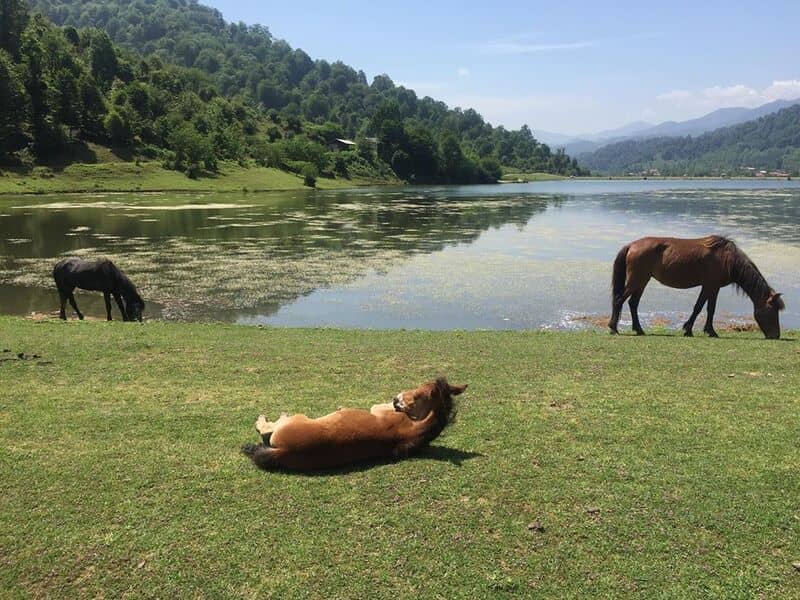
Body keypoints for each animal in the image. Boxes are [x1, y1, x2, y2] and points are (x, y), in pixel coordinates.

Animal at [244, 378, 468, 472]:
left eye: (418, 394)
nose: (396, 399)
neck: (414, 428)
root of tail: (283, 451)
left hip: (296, 418)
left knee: (266, 428)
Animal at [608, 234, 784, 338]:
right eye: (772, 311)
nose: (776, 335)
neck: (727, 259)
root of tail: (631, 245)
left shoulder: (712, 287)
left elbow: (708, 308)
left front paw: (704, 330)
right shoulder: (710, 286)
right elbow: (701, 308)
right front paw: (693, 330)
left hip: (642, 281)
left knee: (633, 303)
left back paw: (639, 330)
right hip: (637, 280)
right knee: (619, 300)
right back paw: (613, 329)